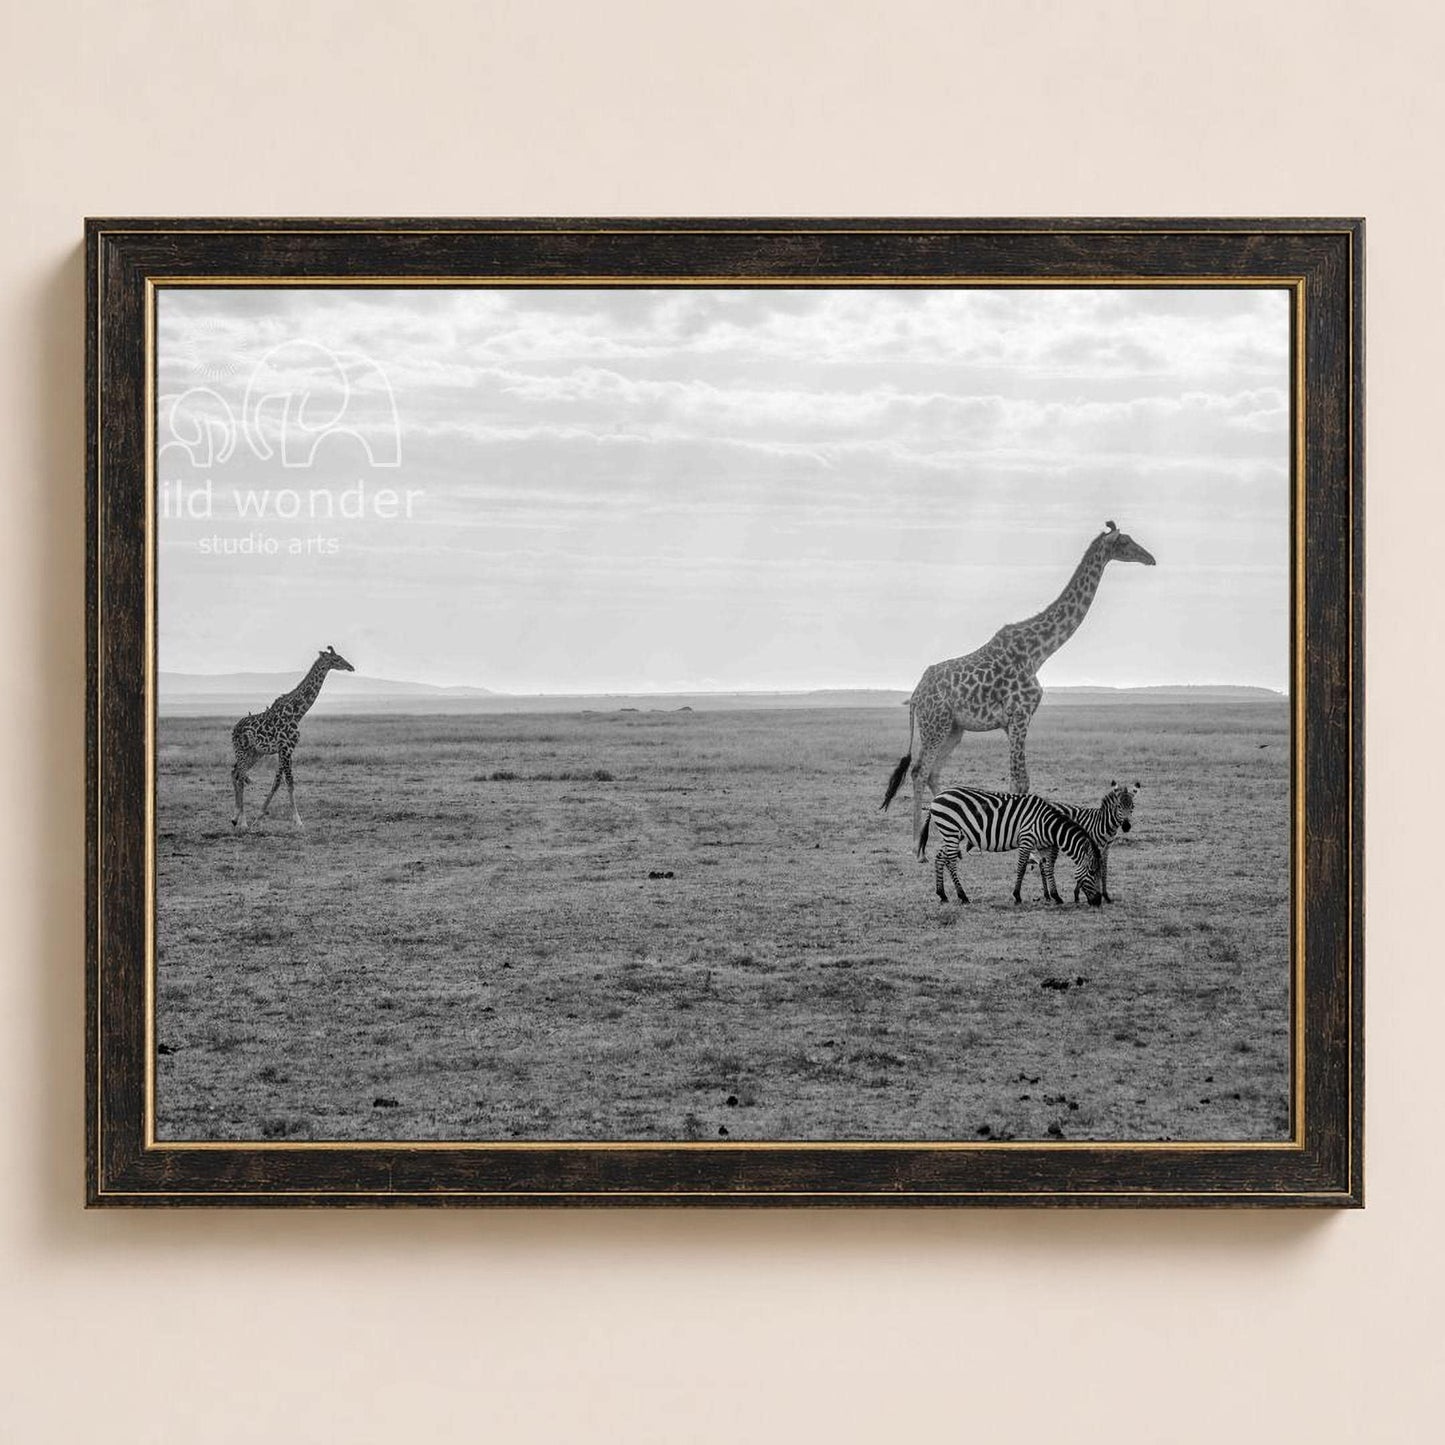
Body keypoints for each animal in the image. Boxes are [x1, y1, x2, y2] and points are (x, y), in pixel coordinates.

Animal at [230, 645, 355, 831]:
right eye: (336, 659)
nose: (351, 667)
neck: (297, 713)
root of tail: (233, 730)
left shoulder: (287, 749)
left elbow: (278, 781)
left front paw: (259, 817)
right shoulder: (285, 748)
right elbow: (288, 781)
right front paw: (298, 820)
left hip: (255, 753)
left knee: (235, 773)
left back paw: (235, 818)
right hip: (242, 750)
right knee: (240, 777)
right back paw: (242, 821)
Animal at [881, 522, 1156, 841]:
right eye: (1125, 541)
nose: (1150, 558)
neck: (1038, 652)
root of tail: (915, 695)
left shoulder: (1014, 721)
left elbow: (1020, 780)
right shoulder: (1019, 716)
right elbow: (1019, 782)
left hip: (954, 729)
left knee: (933, 773)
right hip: (934, 724)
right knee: (920, 771)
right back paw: (916, 843)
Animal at [918, 786, 1104, 907]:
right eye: (1092, 872)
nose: (1098, 902)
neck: (1047, 825)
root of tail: (936, 798)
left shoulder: (1044, 846)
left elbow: (1049, 868)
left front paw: (1056, 896)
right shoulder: (1026, 840)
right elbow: (1021, 867)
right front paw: (1017, 896)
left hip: (953, 833)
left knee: (940, 857)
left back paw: (942, 894)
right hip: (950, 830)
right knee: (950, 861)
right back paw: (962, 896)